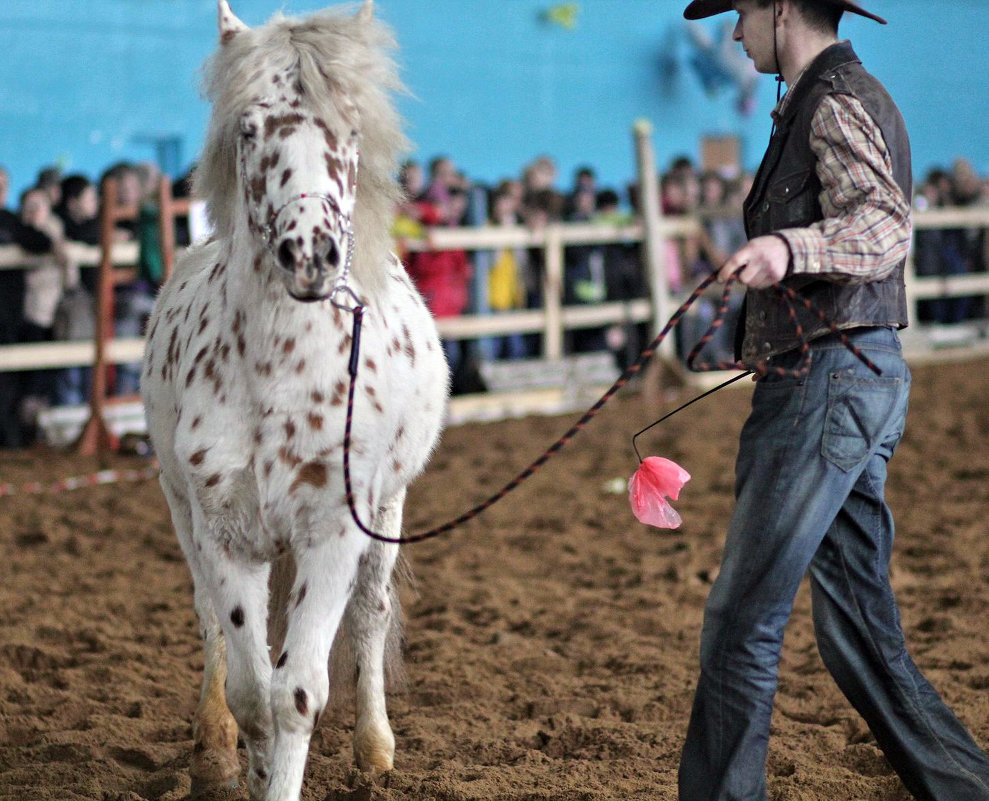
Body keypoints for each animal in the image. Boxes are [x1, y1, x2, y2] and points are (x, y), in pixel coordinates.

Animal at [140, 3, 448, 796]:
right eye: (249, 130)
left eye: (352, 129)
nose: (308, 253)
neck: (275, 371)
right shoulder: (221, 529)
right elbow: (253, 691)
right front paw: (240, 763)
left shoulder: (333, 531)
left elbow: (298, 693)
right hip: (181, 512)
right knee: (209, 623)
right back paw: (214, 745)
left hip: (387, 514)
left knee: (370, 617)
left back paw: (374, 747)